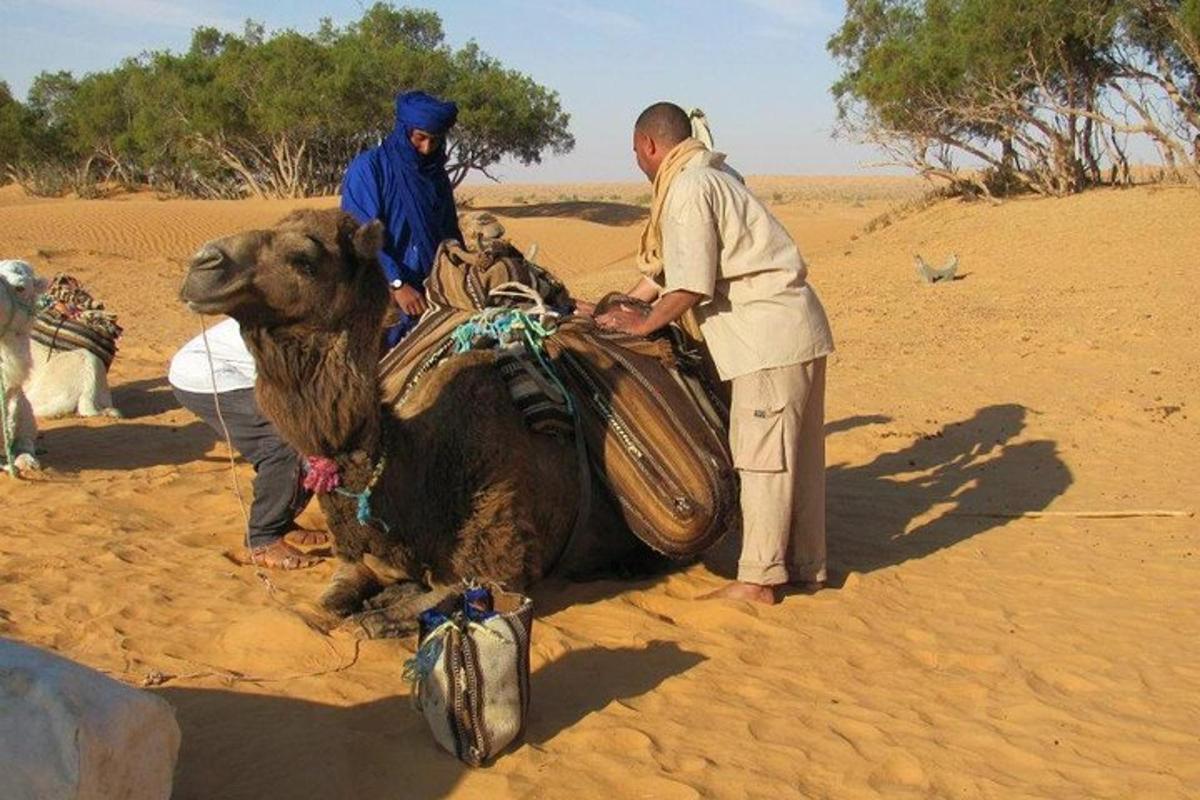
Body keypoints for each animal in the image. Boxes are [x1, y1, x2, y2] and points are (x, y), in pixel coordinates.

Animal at [180, 208, 638, 638]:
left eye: (304, 259)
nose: (202, 264)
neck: (420, 470)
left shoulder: (503, 567)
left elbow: (377, 620)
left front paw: (384, 607)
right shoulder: (359, 560)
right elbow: (327, 606)